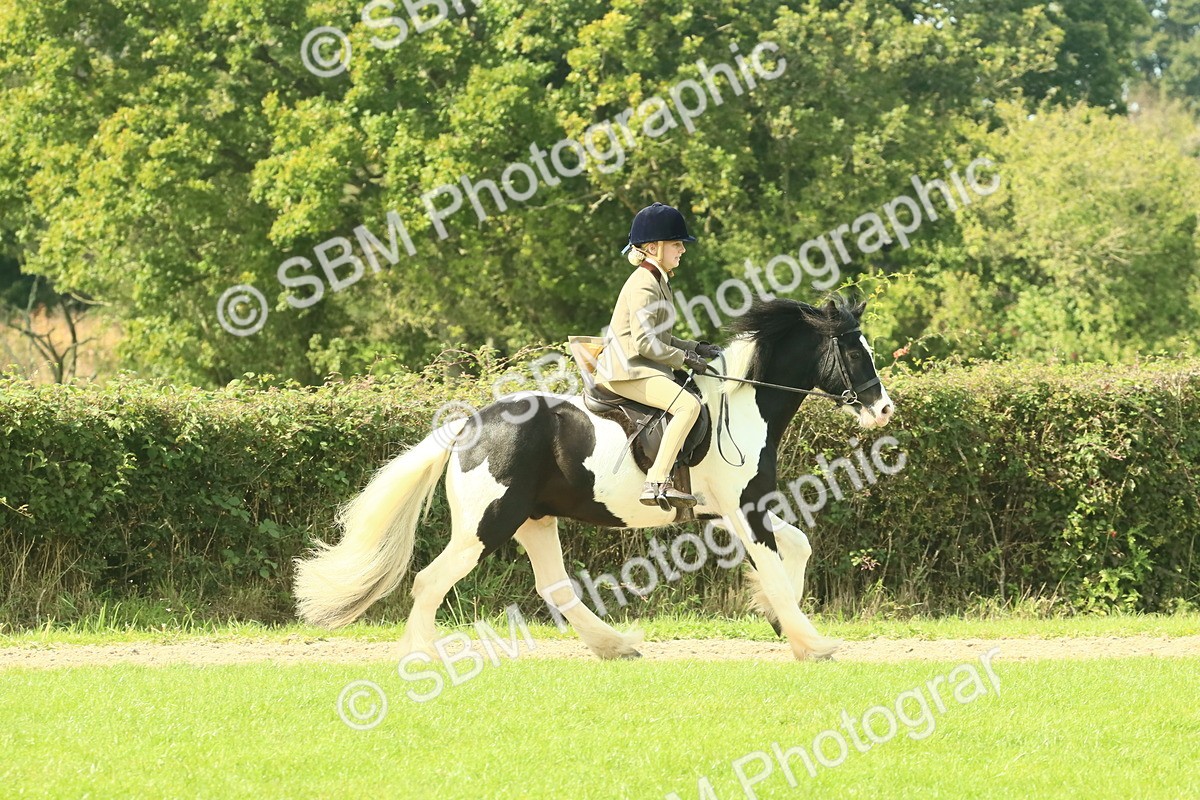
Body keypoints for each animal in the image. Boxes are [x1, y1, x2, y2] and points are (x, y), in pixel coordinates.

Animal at [294, 296, 894, 661]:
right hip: (486, 526)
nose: (884, 410)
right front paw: (810, 642)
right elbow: (775, 563)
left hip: (534, 521)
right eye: (852, 351)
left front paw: (777, 619)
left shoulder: (738, 509)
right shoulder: (743, 509)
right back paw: (422, 657)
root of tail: (470, 425)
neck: (744, 405)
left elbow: (796, 548)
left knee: (554, 587)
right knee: (430, 581)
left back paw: (615, 645)